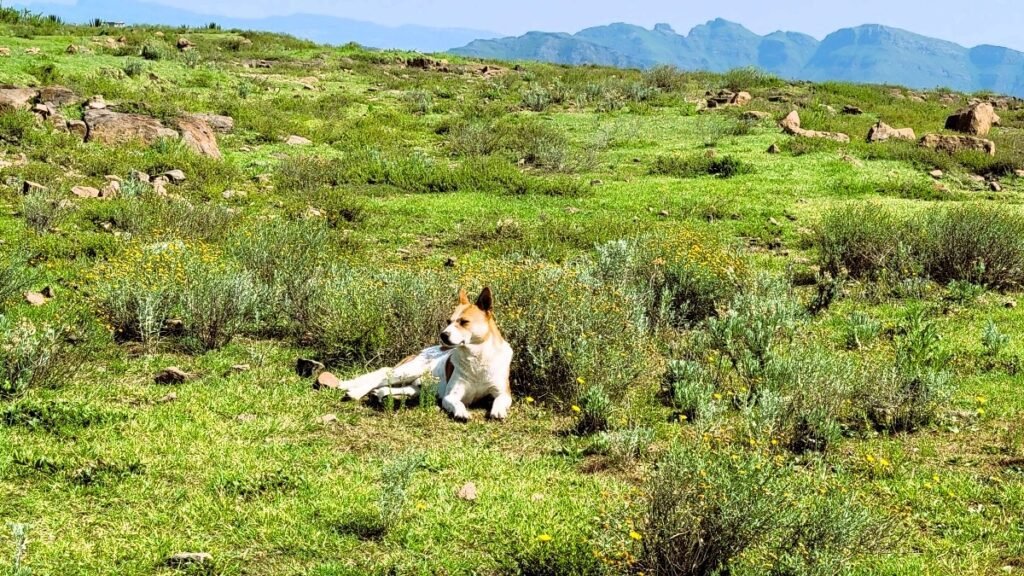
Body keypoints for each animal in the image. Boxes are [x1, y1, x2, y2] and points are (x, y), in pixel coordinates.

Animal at [335, 284, 512, 416]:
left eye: (464, 322)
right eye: (448, 321)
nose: (443, 335)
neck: (478, 357)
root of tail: (419, 352)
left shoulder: (504, 393)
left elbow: (500, 400)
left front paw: (498, 411)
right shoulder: (451, 396)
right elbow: (456, 403)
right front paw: (461, 412)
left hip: (416, 386)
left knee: (395, 387)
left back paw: (381, 393)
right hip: (409, 370)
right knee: (382, 375)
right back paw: (355, 391)